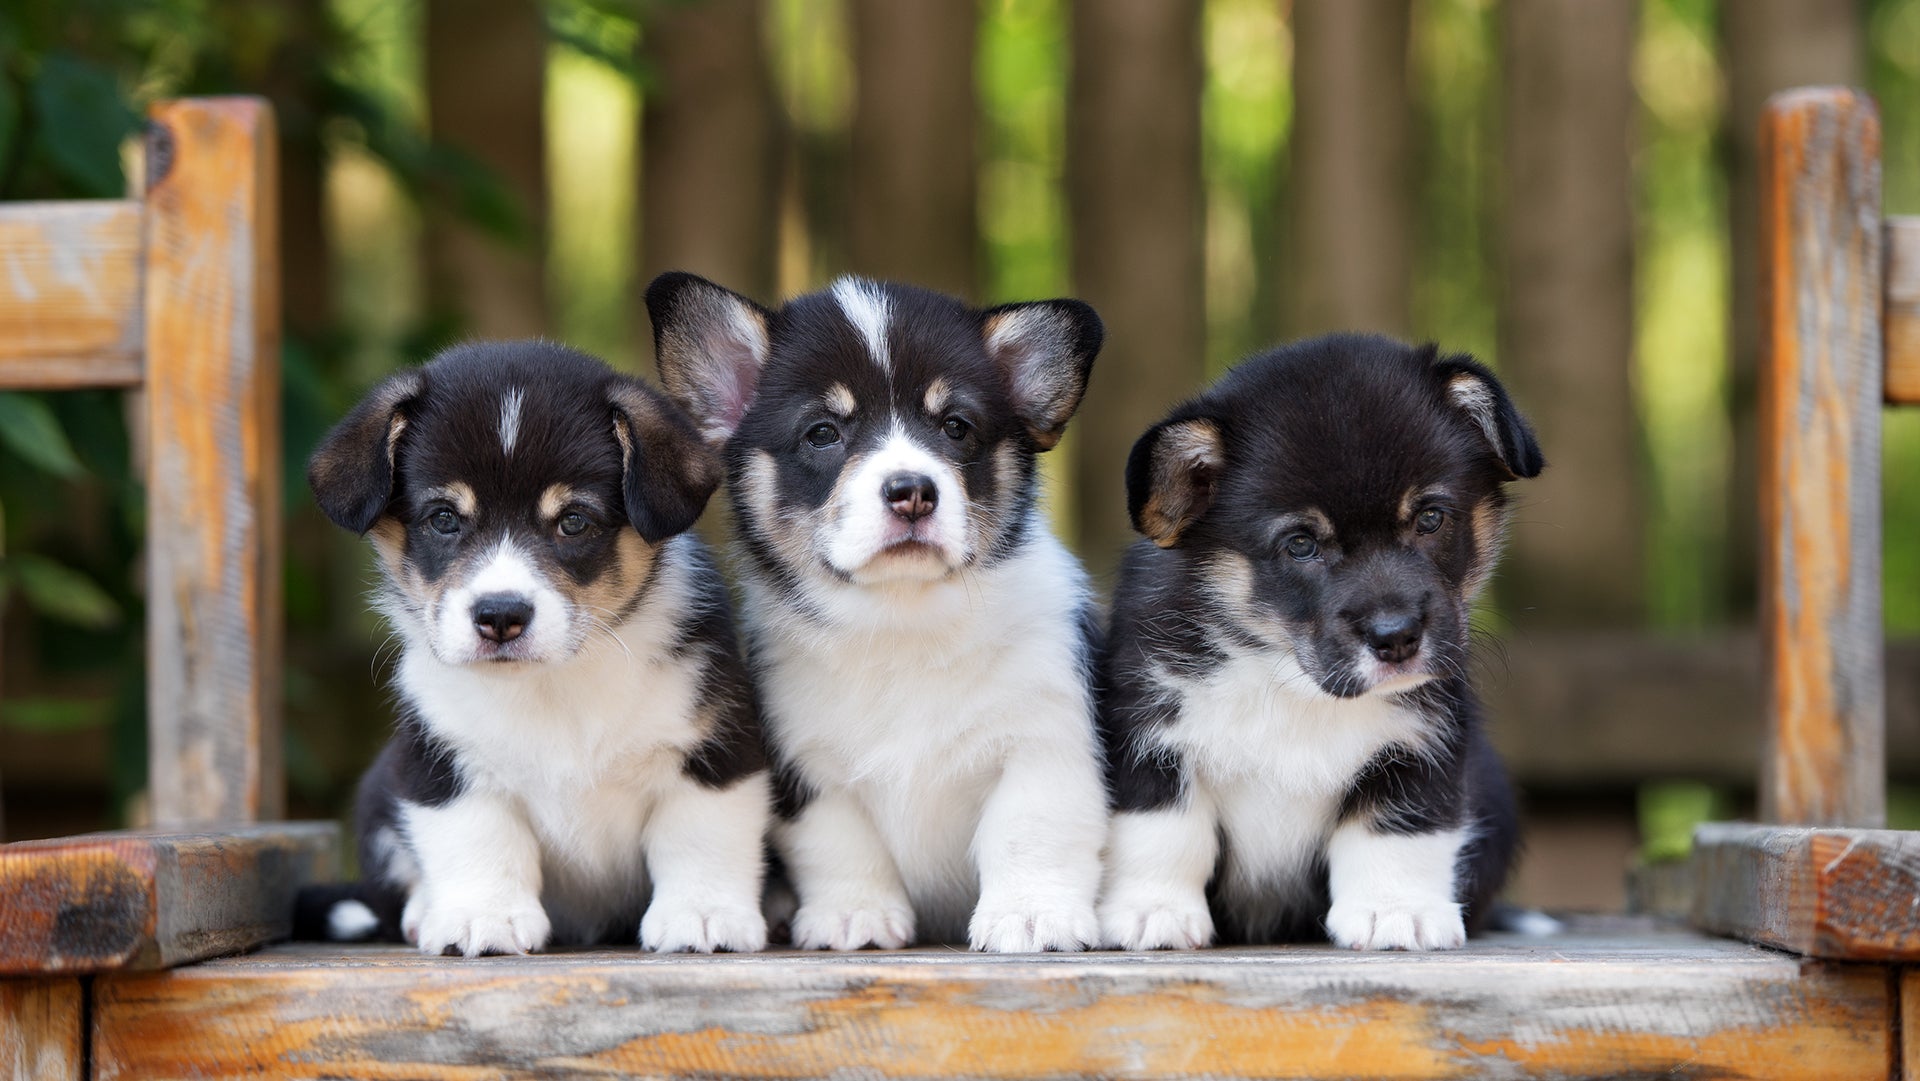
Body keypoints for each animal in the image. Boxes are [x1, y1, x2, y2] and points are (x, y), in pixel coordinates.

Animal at [293, 337, 771, 956]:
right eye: (443, 518)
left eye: (573, 521)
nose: (500, 616)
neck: (551, 684)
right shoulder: (442, 761)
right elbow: (478, 839)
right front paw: (482, 918)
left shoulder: (717, 747)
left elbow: (700, 835)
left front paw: (703, 915)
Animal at [648, 272, 1113, 956]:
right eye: (822, 433)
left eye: (955, 427)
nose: (912, 492)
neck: (902, 622)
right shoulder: (810, 771)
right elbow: (841, 844)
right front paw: (854, 915)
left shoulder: (1046, 740)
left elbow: (1030, 832)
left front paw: (1031, 917)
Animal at [1098, 334, 1543, 952]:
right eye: (1302, 545)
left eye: (1431, 517)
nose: (1396, 639)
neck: (1288, 679)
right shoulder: (1148, 737)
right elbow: (1163, 830)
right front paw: (1153, 911)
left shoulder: (1421, 744)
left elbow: (1399, 828)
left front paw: (1395, 912)